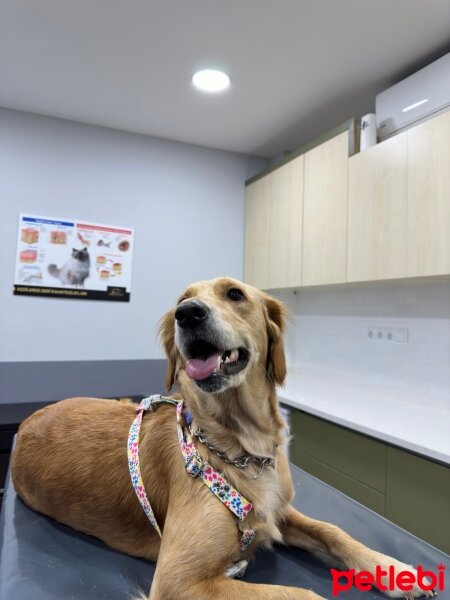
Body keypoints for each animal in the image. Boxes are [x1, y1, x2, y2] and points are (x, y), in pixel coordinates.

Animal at [12, 278, 434, 600]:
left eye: (234, 294)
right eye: (180, 301)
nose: (188, 314)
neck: (240, 447)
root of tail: (24, 424)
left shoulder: (275, 512)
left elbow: (333, 530)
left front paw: (392, 568)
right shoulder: (177, 580)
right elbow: (303, 594)